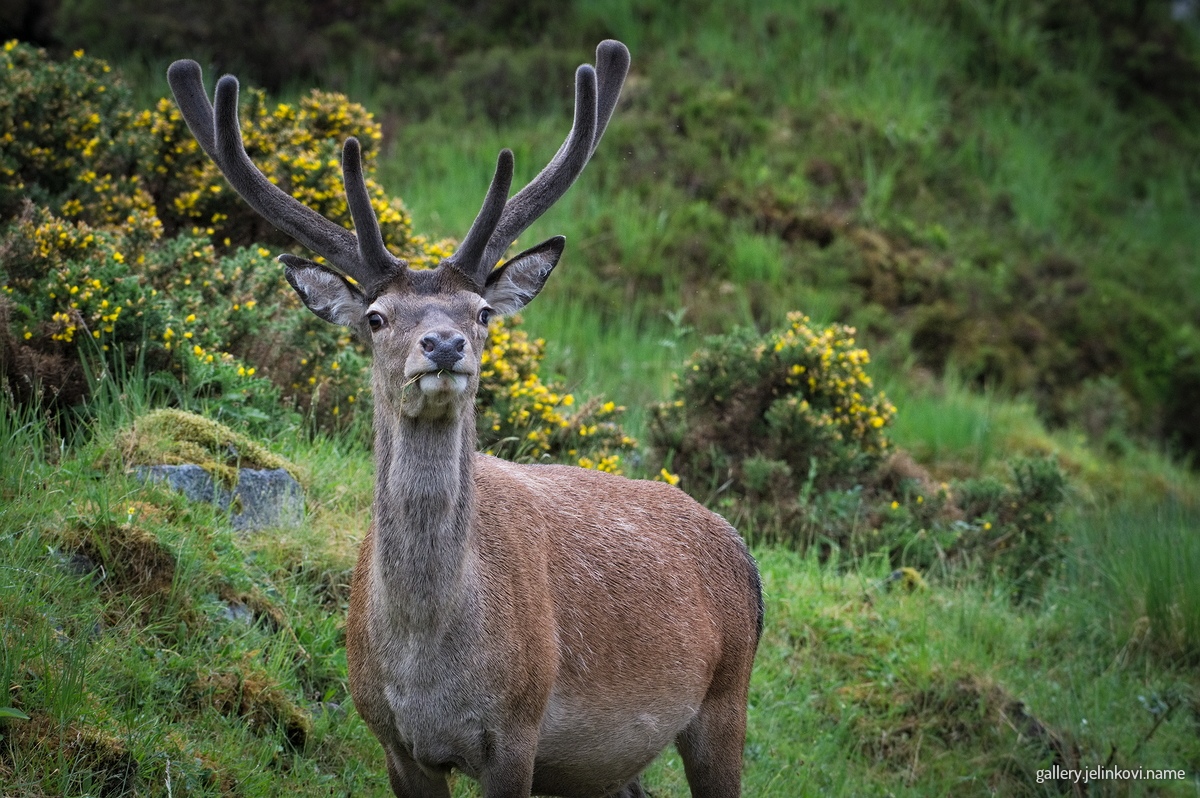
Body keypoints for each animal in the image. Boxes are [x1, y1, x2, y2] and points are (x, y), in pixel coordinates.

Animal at [167, 41, 762, 798]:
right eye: (375, 316)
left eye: (481, 312)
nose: (444, 344)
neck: (427, 666)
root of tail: (743, 551)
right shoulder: (393, 740)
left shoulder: (517, 729)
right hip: (603, 763)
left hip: (726, 695)